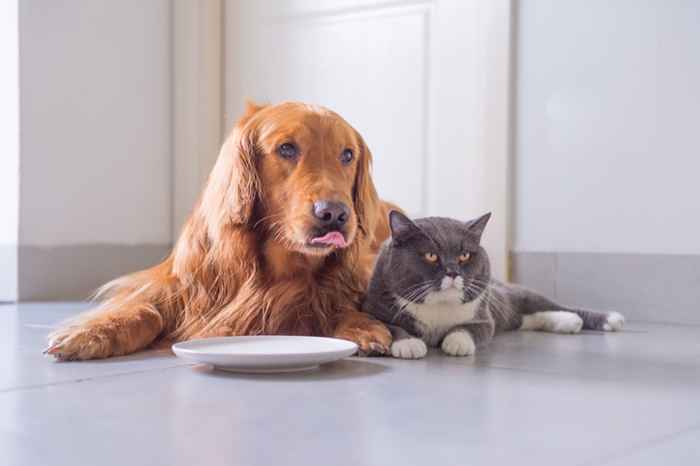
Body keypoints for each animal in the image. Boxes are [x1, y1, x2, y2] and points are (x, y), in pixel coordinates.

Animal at [43, 102, 396, 362]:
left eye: (347, 155)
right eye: (286, 149)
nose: (334, 214)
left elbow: (340, 303)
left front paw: (363, 326)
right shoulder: (178, 282)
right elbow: (145, 309)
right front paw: (92, 332)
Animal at [364, 212, 628, 360]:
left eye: (464, 256)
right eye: (431, 255)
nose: (453, 271)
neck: (438, 307)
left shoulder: (484, 317)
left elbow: (468, 329)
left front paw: (456, 342)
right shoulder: (375, 310)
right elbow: (391, 328)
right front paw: (409, 344)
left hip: (515, 294)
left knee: (553, 305)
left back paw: (606, 319)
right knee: (527, 319)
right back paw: (569, 323)